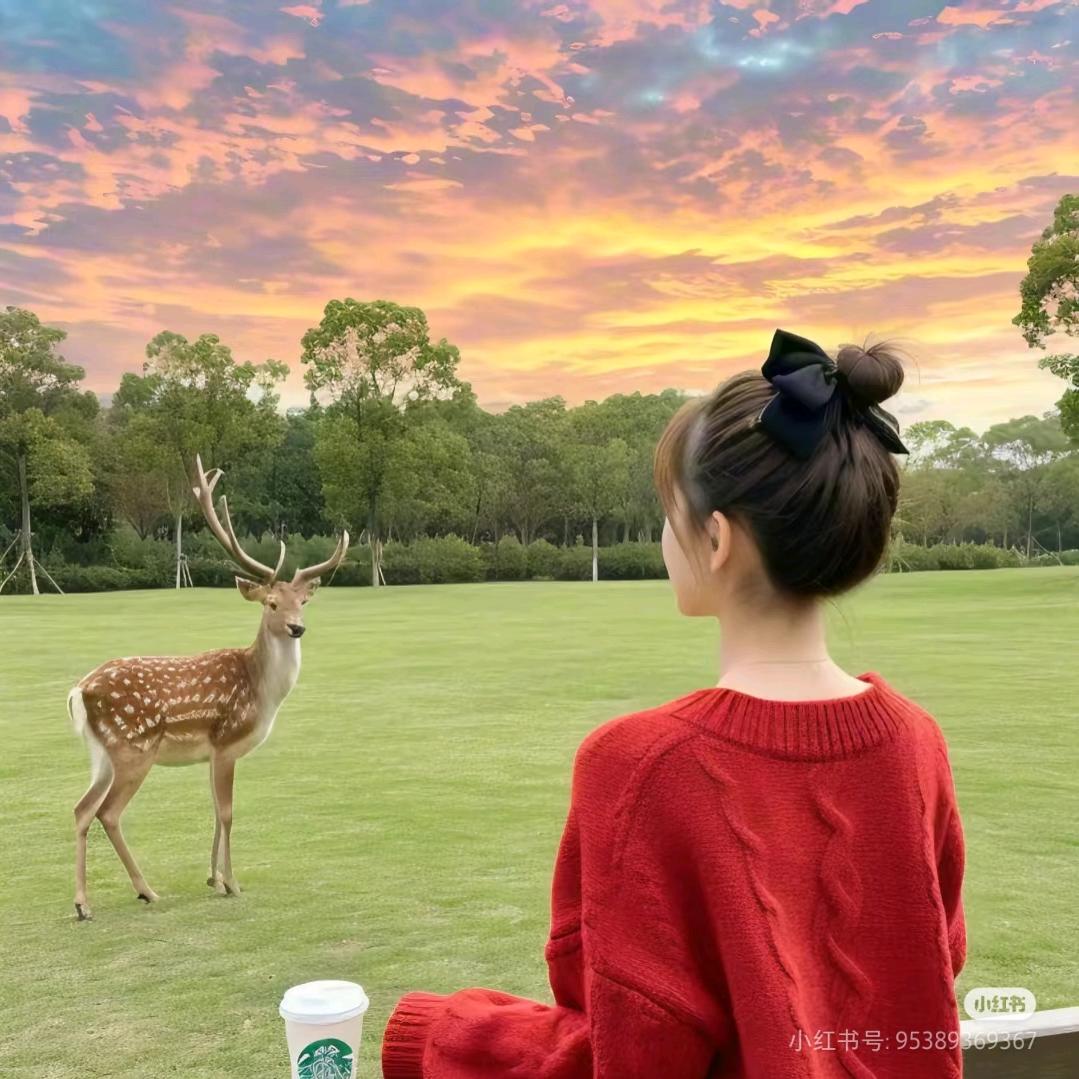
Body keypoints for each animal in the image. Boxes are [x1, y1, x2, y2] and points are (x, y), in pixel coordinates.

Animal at [69, 454, 349, 921]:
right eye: (272, 603)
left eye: (303, 602)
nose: (297, 627)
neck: (261, 691)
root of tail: (78, 692)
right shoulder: (226, 742)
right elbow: (228, 812)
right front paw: (232, 882)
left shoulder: (211, 753)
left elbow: (214, 812)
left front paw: (213, 879)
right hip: (133, 748)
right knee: (108, 812)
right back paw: (145, 891)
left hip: (101, 752)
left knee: (81, 808)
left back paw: (83, 903)